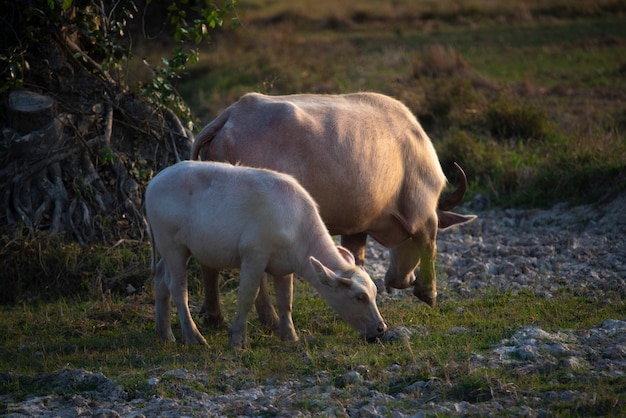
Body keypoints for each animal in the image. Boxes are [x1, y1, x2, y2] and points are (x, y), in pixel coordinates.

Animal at [190, 92, 472, 326]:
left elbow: (355, 259)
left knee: (208, 261)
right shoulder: (423, 215)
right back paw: (269, 318)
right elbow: (429, 247)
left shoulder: (356, 228)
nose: (401, 280)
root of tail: (230, 116)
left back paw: (214, 316)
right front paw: (428, 293)